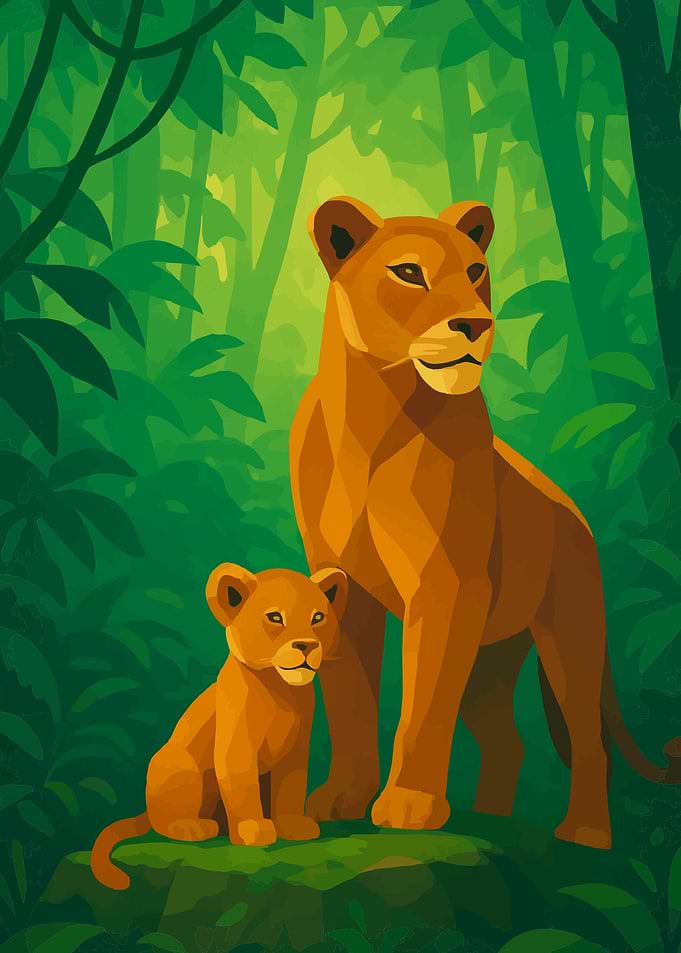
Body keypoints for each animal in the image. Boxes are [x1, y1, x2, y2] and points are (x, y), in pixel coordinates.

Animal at [90, 562, 347, 889]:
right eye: (275, 617)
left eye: (318, 618)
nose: (307, 645)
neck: (281, 691)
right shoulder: (236, 744)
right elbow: (242, 782)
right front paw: (253, 830)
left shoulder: (295, 748)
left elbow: (292, 785)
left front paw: (292, 825)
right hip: (177, 763)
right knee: (163, 822)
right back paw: (193, 827)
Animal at [289, 196, 681, 849]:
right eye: (409, 273)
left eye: (476, 272)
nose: (474, 324)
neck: (372, 412)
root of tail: (578, 516)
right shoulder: (344, 584)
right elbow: (350, 702)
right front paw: (342, 798)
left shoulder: (447, 585)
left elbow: (422, 705)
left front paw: (409, 805)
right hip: (490, 659)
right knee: (507, 742)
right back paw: (493, 818)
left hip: (571, 636)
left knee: (588, 740)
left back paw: (584, 833)